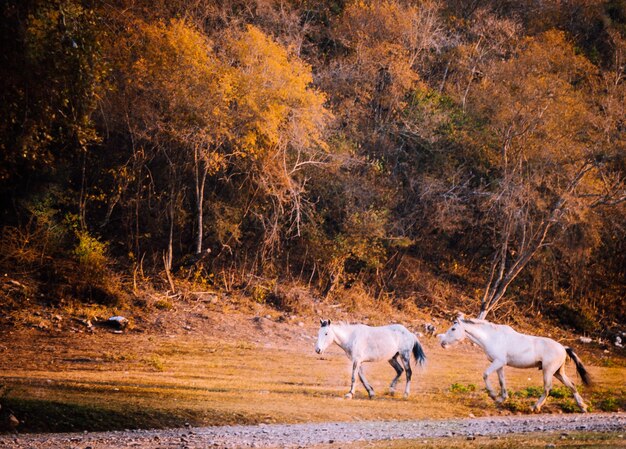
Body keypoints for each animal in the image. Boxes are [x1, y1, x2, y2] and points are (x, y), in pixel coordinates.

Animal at [436, 314, 588, 412]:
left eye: (453, 329)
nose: (442, 343)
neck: (492, 337)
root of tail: (563, 347)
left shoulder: (498, 362)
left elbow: (485, 375)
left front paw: (493, 395)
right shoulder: (499, 364)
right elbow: (502, 382)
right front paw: (501, 399)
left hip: (548, 371)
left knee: (547, 388)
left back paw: (535, 407)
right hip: (558, 372)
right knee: (571, 385)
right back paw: (582, 407)